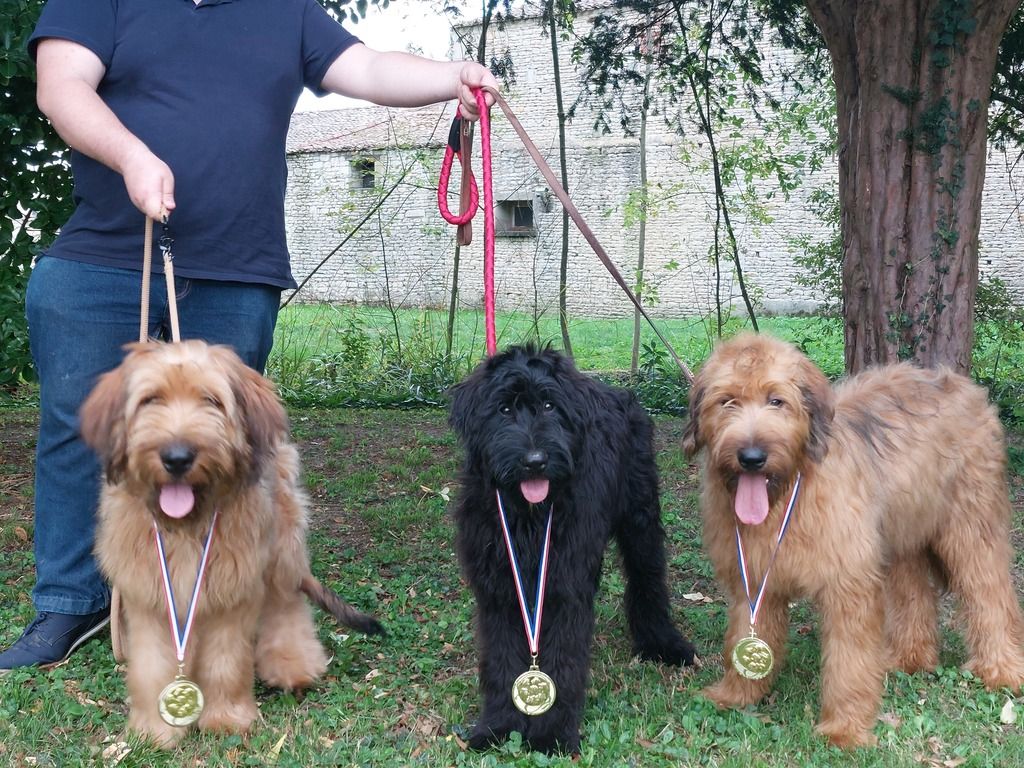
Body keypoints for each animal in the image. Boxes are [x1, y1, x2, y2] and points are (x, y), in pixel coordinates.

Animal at [450, 346, 696, 753]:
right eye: (504, 409)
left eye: (550, 405)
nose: (535, 461)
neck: (529, 514)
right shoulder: (498, 589)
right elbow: (502, 658)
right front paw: (498, 726)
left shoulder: (564, 584)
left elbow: (563, 656)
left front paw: (551, 733)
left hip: (640, 517)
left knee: (648, 578)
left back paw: (662, 643)